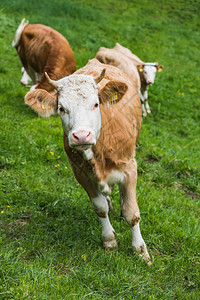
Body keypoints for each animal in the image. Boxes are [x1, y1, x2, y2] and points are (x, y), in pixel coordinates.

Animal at [24, 57, 151, 264]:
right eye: (61, 108)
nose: (81, 136)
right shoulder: (80, 172)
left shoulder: (130, 169)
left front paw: (140, 251)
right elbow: (99, 208)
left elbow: (132, 213)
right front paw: (109, 240)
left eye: (96, 104)